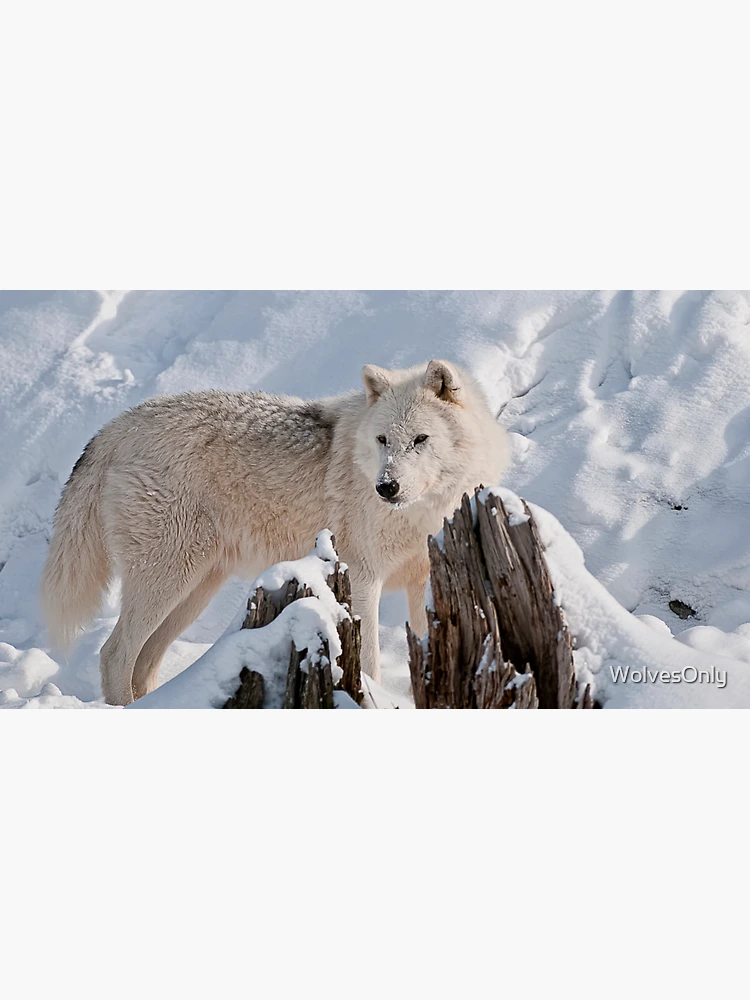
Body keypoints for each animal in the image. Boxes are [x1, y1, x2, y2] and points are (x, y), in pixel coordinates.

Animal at [41, 359, 511, 704]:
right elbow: (370, 663)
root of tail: (115, 428)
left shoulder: (429, 579)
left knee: (143, 665)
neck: (419, 512)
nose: (386, 487)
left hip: (194, 589)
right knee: (115, 655)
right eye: (382, 440)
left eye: (420, 439)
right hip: (168, 580)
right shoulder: (363, 579)